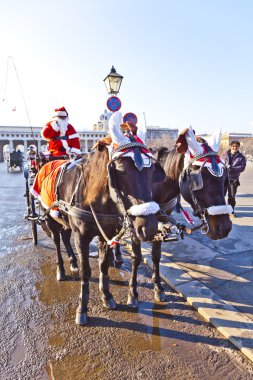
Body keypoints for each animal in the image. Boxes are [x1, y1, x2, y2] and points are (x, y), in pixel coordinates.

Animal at [33, 111, 166, 326]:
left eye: (152, 171)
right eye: (120, 171)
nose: (149, 227)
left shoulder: (106, 234)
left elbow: (103, 265)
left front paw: (106, 296)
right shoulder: (81, 236)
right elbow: (87, 270)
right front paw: (82, 307)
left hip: (65, 221)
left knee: (65, 238)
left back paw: (72, 262)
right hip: (52, 220)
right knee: (57, 241)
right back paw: (62, 269)